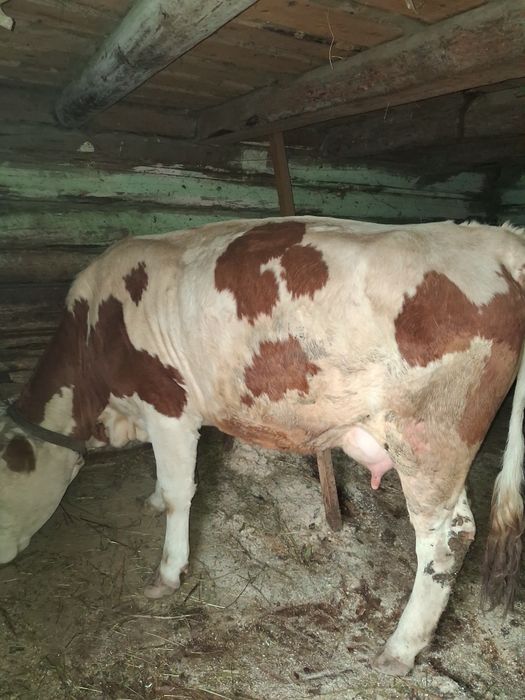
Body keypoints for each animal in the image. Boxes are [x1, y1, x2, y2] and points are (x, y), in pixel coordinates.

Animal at [1, 216, 524, 675]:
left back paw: (399, 649)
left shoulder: (168, 405)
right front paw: (149, 501)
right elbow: (163, 486)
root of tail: (496, 239)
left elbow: (178, 494)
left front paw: (168, 573)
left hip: (429, 436)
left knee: (446, 538)